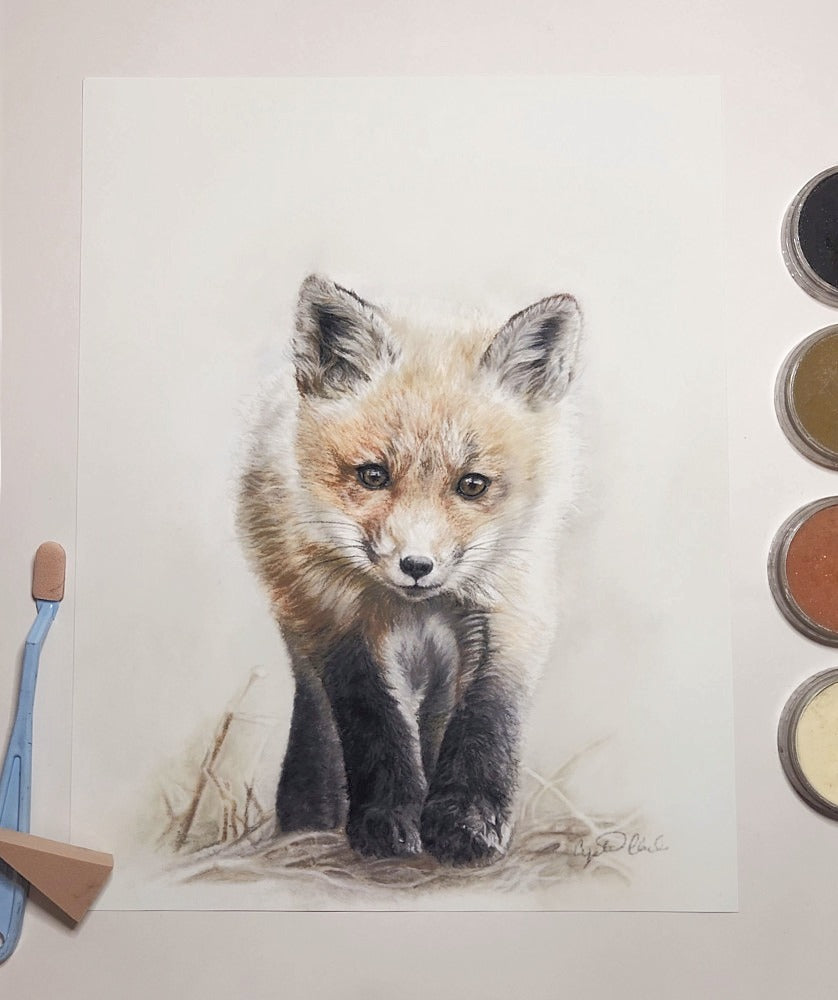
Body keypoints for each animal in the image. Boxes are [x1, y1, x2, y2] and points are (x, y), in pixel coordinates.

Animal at [237, 274, 582, 866]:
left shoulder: (510, 607)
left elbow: (486, 719)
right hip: (301, 615)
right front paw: (388, 820)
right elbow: (373, 721)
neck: (415, 604)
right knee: (318, 715)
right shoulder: (341, 618)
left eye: (472, 484)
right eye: (373, 475)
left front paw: (466, 822)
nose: (417, 565)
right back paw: (309, 818)